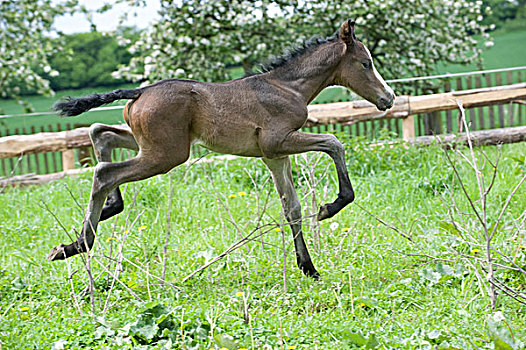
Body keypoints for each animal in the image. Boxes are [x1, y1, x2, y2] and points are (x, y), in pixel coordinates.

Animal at [50, 21, 396, 278]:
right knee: (104, 172)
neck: (286, 87)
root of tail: (140, 91)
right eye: (366, 63)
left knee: (100, 133)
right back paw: (79, 244)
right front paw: (329, 207)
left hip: (152, 145)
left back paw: (100, 217)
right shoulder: (278, 141)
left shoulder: (274, 156)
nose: (388, 98)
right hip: (166, 155)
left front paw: (308, 267)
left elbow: (292, 209)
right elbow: (334, 143)